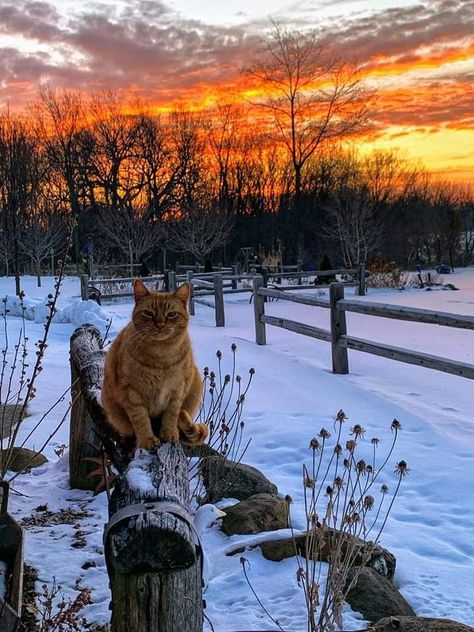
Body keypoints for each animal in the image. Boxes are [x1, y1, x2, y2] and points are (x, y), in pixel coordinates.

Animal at [102, 280, 207, 450]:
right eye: (148, 313)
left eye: (171, 314)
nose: (160, 324)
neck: (161, 357)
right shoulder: (132, 393)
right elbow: (141, 420)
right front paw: (147, 439)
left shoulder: (177, 391)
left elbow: (171, 416)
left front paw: (169, 433)